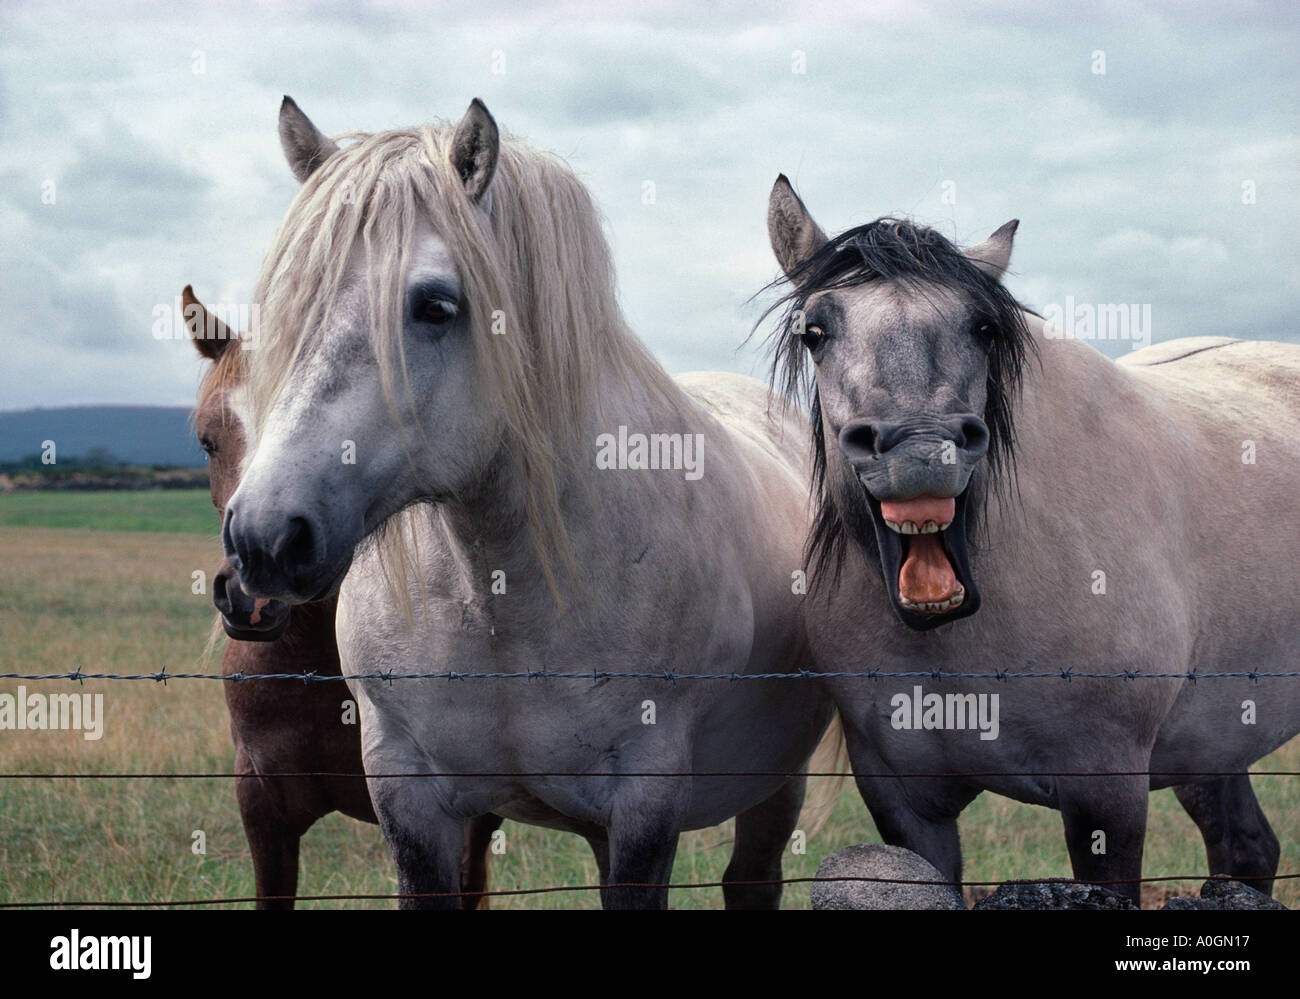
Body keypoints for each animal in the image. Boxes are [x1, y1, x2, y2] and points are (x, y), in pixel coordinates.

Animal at [221, 97, 843, 909]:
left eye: (435, 305)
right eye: (287, 301)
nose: (265, 537)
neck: (503, 594)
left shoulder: (645, 807)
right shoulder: (408, 795)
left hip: (774, 784)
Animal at [762, 175, 1300, 903]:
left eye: (984, 327)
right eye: (815, 331)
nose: (920, 449)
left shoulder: (1107, 795)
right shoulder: (905, 805)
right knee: (1247, 845)